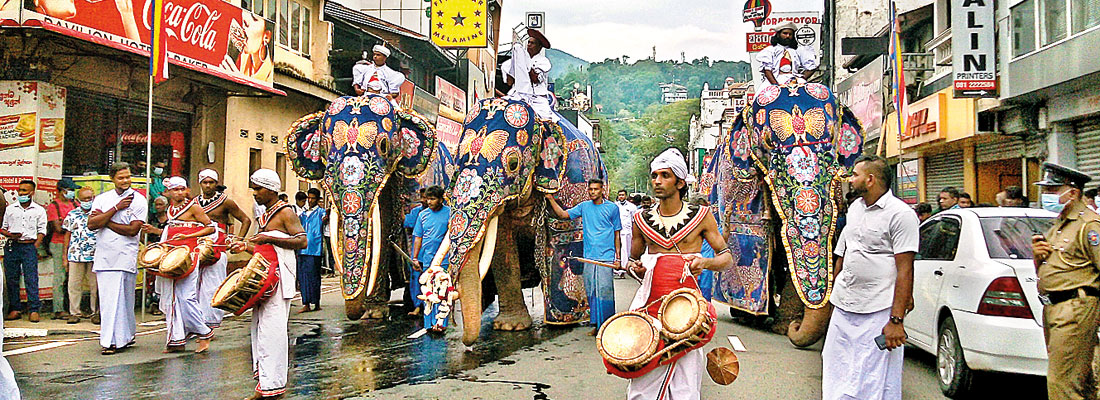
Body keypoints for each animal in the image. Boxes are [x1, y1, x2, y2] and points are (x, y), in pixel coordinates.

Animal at [286, 94, 444, 320]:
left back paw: (411, 305)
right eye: (324, 145)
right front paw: (373, 310)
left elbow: (383, 230)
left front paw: (375, 312)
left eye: (384, 145)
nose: (356, 311)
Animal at [431, 98, 611, 345]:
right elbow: (502, 249)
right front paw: (509, 327)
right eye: (456, 164)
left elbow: (560, 236)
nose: (444, 328)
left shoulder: (571, 180)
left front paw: (561, 321)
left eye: (513, 163)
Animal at [699, 80, 862, 347]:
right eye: (766, 142)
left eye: (833, 136)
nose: (796, 328)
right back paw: (747, 315)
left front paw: (785, 325)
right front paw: (780, 323)